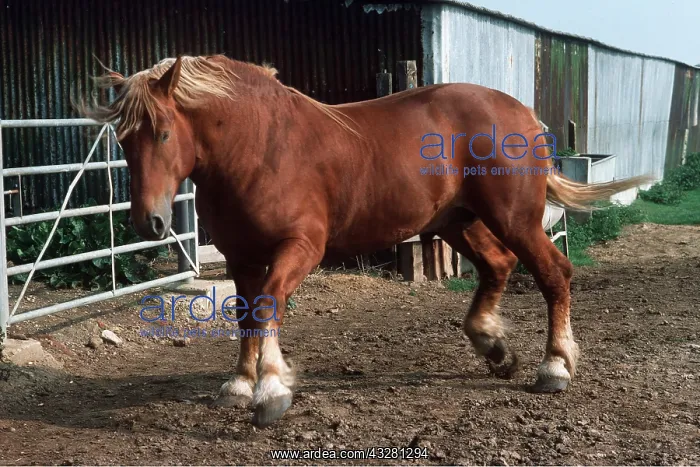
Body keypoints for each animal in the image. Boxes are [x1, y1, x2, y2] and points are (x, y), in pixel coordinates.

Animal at [81, 54, 650, 427]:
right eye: (124, 139)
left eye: (163, 133)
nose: (149, 223)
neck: (258, 147)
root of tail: (523, 114)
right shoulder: (241, 257)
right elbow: (246, 315)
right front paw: (240, 384)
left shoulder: (301, 247)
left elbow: (268, 308)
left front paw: (270, 391)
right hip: (456, 222)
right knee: (499, 266)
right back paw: (494, 349)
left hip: (514, 218)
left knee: (554, 272)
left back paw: (554, 367)